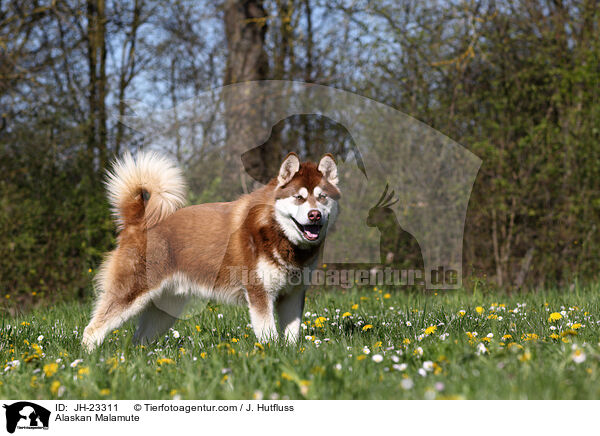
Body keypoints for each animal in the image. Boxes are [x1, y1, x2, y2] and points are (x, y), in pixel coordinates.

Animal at [82, 152, 340, 350]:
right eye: (299, 197)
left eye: (322, 197)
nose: (314, 215)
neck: (277, 231)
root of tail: (138, 221)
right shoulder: (259, 294)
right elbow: (269, 335)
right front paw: (273, 355)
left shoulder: (293, 295)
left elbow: (292, 336)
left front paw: (291, 356)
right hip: (130, 295)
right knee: (92, 331)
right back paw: (89, 362)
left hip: (166, 309)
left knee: (139, 340)